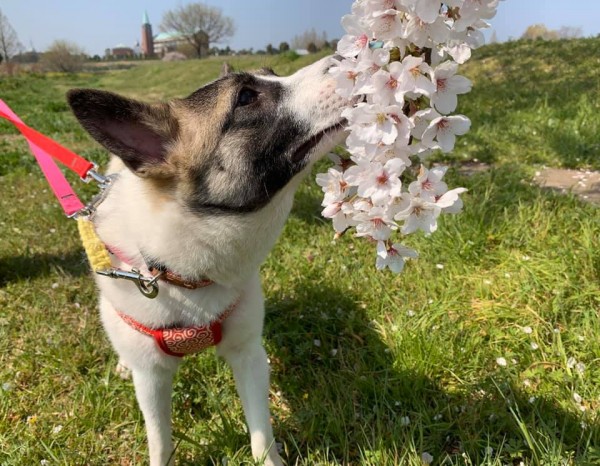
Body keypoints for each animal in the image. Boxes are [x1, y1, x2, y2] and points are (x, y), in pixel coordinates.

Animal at [67, 55, 352, 466]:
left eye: (272, 73)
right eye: (246, 97)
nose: (342, 58)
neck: (183, 274)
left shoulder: (248, 355)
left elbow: (261, 436)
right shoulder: (152, 378)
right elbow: (159, 440)